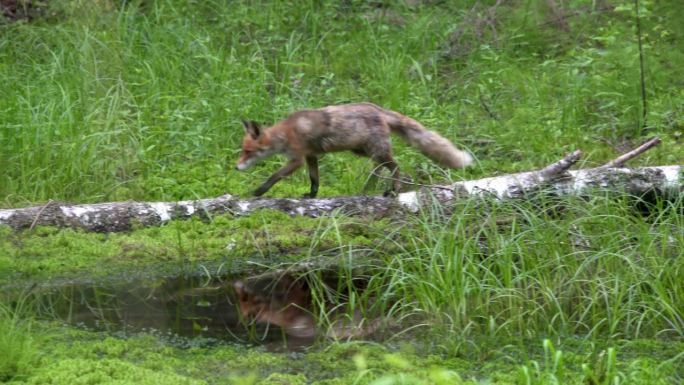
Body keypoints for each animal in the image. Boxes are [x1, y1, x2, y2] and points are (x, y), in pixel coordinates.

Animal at [235, 102, 470, 196]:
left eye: (248, 152)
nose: (236, 168)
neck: (286, 133)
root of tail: (379, 109)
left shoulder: (297, 158)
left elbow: (274, 176)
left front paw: (258, 191)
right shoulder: (311, 156)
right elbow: (314, 179)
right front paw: (311, 196)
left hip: (377, 150)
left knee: (396, 166)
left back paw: (392, 190)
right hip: (362, 150)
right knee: (378, 167)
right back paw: (368, 188)